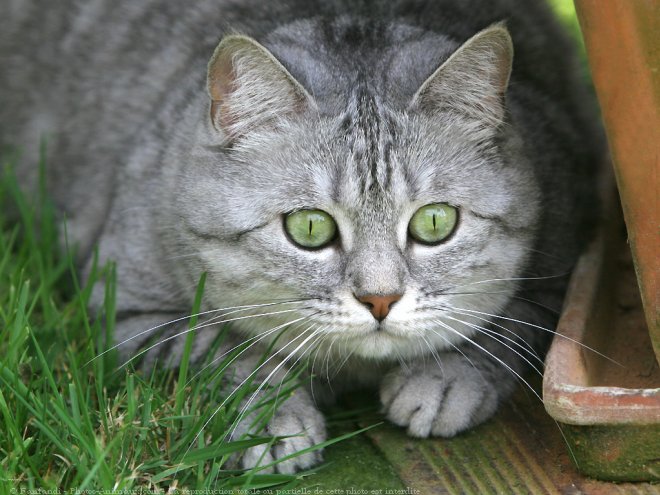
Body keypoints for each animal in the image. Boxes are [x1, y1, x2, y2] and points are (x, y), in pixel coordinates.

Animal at [0, 0, 604, 474]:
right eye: (310, 228)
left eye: (435, 223)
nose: (380, 299)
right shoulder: (132, 307)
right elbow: (221, 354)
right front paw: (273, 421)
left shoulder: (562, 260)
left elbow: (503, 329)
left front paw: (446, 380)